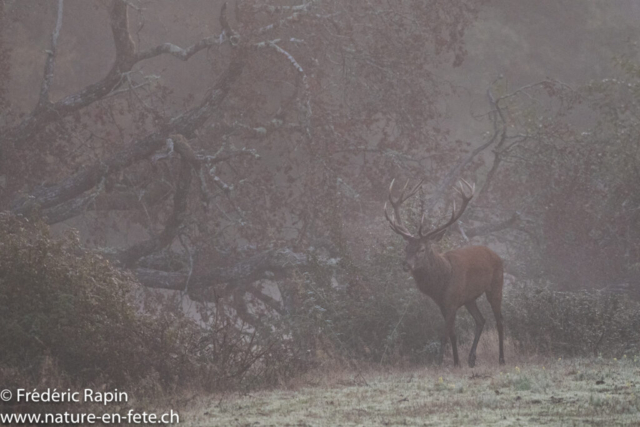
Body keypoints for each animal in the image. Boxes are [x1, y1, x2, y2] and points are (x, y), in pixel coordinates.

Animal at [384, 178, 505, 367]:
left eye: (422, 249)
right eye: (406, 247)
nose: (406, 265)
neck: (441, 283)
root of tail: (496, 255)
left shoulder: (452, 301)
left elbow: (444, 334)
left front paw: (439, 363)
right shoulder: (443, 304)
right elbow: (453, 334)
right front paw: (456, 362)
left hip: (496, 285)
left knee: (499, 321)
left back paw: (501, 358)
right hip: (470, 298)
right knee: (481, 320)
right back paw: (471, 358)